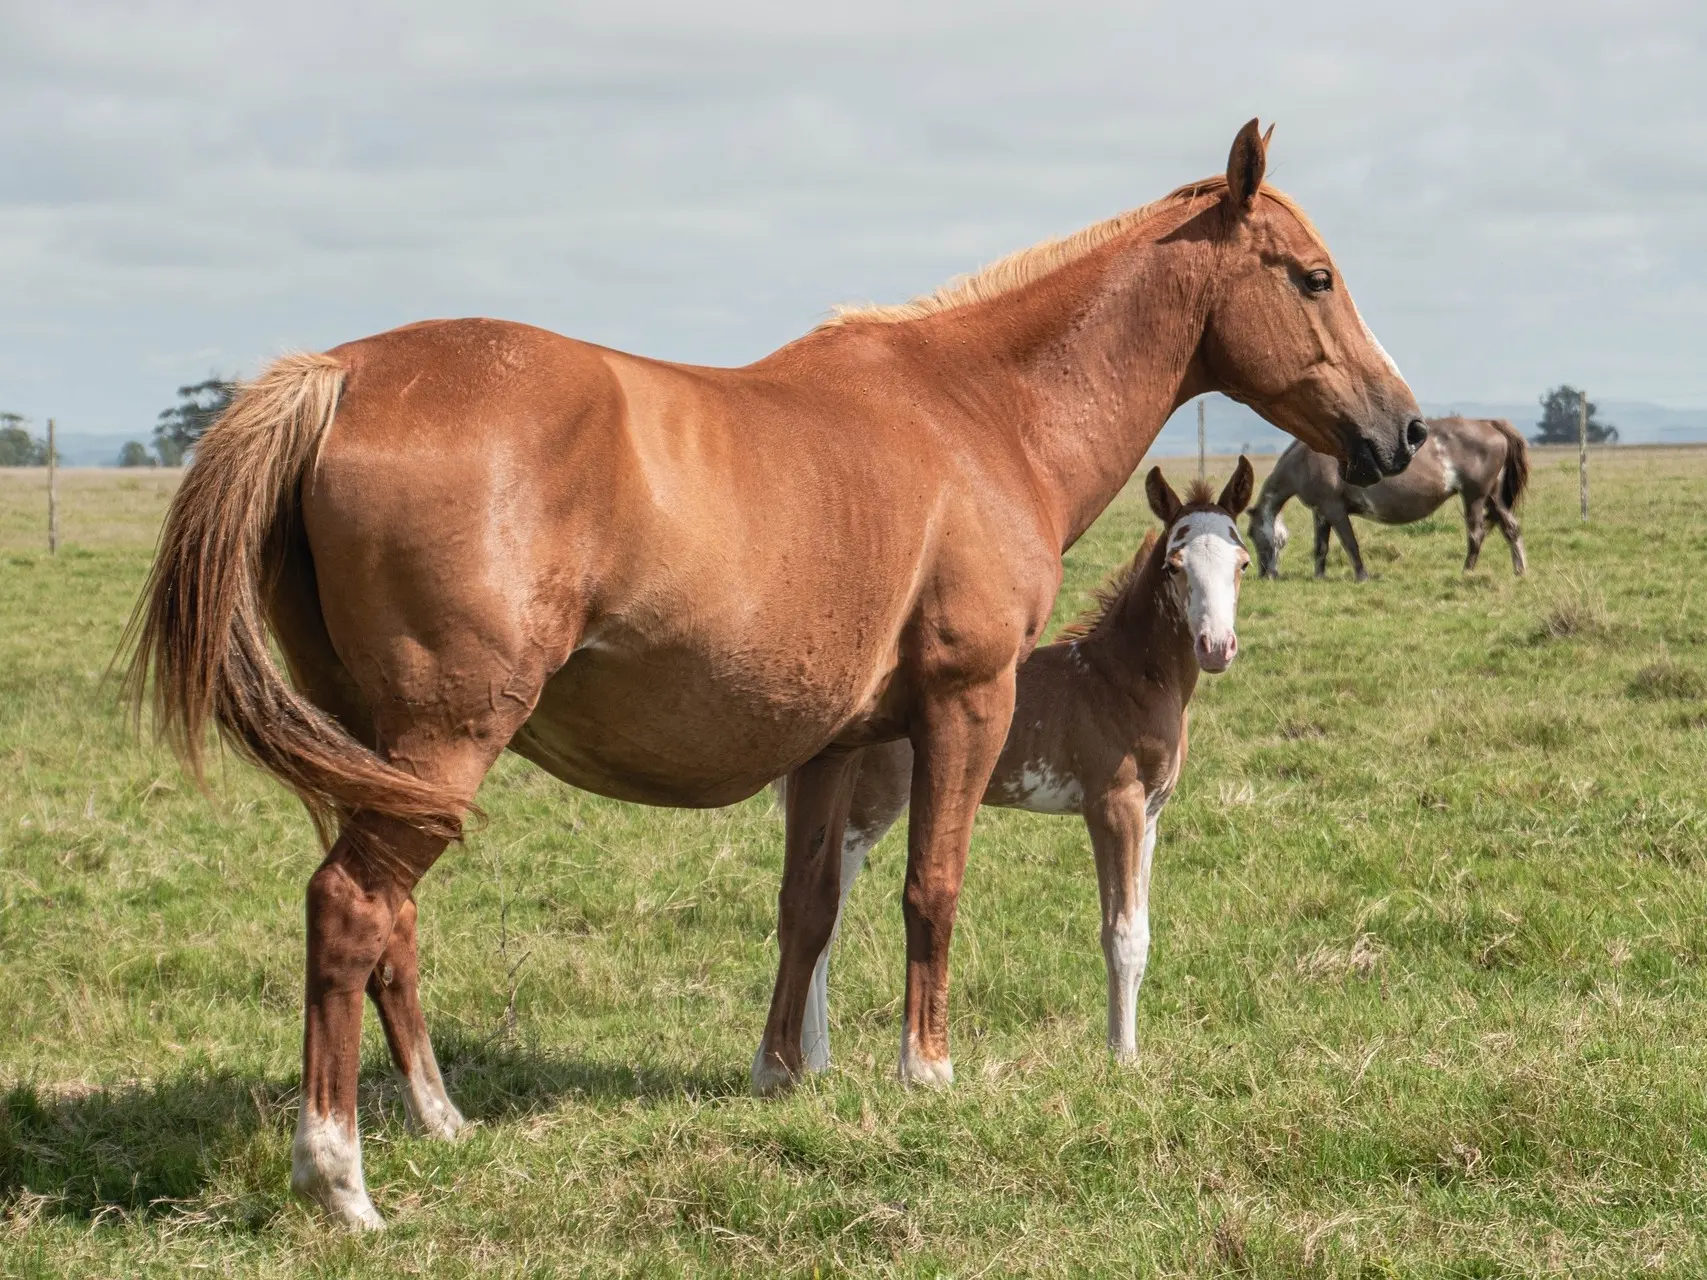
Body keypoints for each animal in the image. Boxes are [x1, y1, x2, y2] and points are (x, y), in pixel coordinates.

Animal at [757, 457, 1256, 1085]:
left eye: (1242, 563)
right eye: (1175, 565)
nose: (1216, 646)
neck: (1121, 678)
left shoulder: (1151, 814)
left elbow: (1142, 932)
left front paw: (1132, 1051)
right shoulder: (1112, 806)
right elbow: (1119, 933)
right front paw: (1120, 1060)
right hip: (865, 810)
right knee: (826, 918)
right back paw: (816, 1062)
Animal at [1242, 418, 1536, 583]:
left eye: (1251, 534)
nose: (1265, 575)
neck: (1306, 459)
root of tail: (1489, 424)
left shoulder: (1334, 510)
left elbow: (1350, 544)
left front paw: (1361, 576)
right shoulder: (1321, 512)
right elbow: (1320, 547)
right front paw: (1319, 576)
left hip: (1474, 496)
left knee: (1476, 534)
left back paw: (1467, 572)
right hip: (1493, 497)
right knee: (1511, 529)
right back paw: (1520, 571)